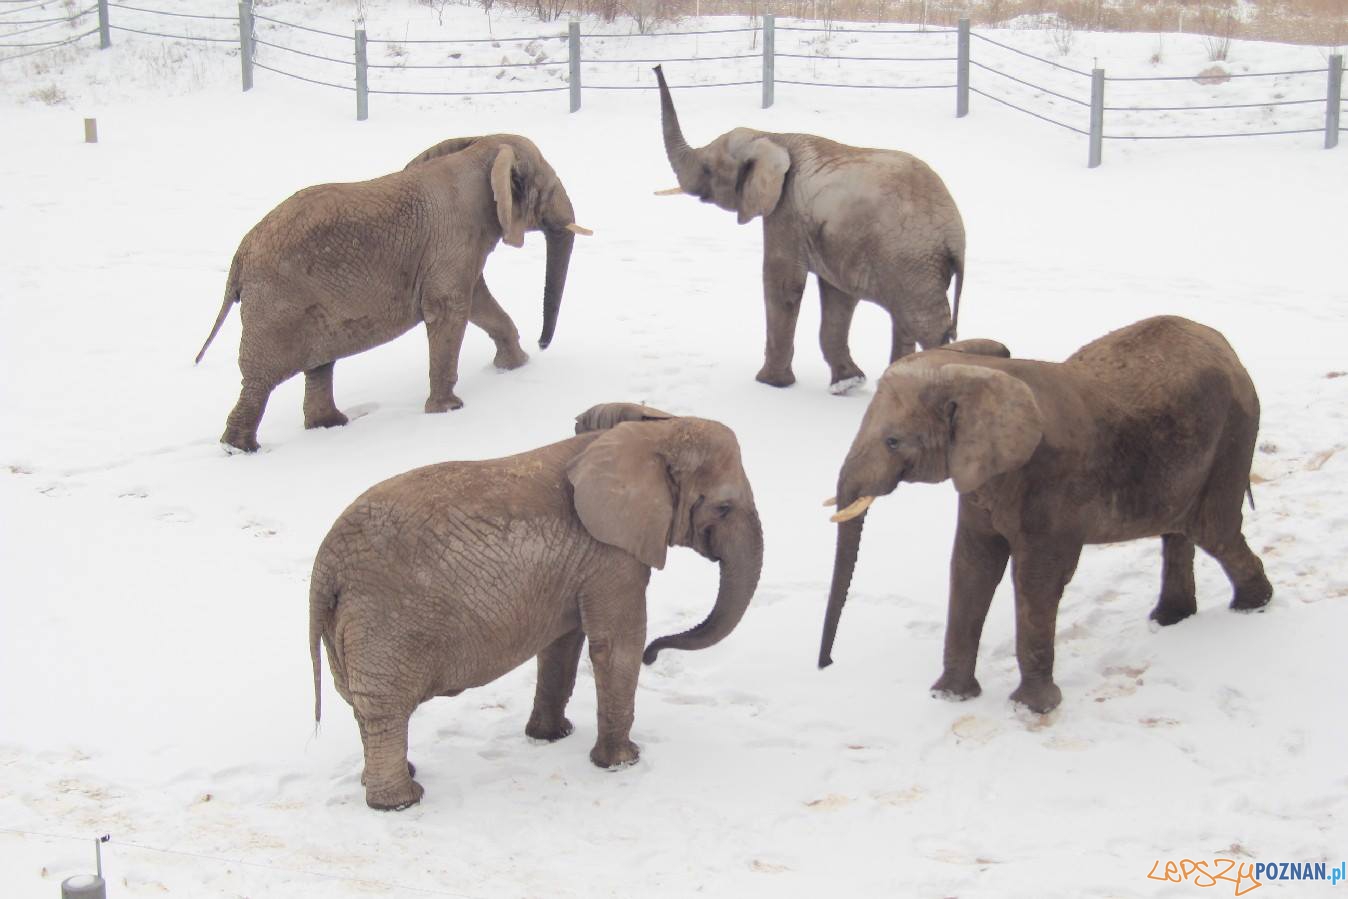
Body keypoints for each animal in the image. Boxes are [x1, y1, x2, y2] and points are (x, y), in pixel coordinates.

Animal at [191, 132, 590, 458]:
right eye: (548, 189)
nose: (542, 345)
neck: (481, 151)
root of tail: (240, 257)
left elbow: (477, 300)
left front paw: (514, 366)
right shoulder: (452, 240)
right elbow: (451, 307)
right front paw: (449, 410)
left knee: (319, 364)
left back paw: (330, 425)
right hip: (276, 303)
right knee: (261, 379)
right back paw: (241, 450)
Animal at [308, 404, 765, 814]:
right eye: (723, 507)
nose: (656, 656)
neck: (653, 433)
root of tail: (325, 567)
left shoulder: (577, 563)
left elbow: (562, 645)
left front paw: (550, 738)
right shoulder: (610, 554)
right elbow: (617, 646)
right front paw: (623, 762)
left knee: (362, 708)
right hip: (384, 621)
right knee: (383, 710)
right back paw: (400, 803)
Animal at [655, 65, 965, 396]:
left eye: (708, 170)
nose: (656, 67)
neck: (771, 136)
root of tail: (956, 235)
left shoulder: (786, 211)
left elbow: (783, 283)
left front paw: (770, 384)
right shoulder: (833, 237)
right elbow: (837, 295)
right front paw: (847, 383)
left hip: (912, 257)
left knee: (926, 324)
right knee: (906, 320)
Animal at [814, 319, 1267, 711]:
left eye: (892, 441)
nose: (826, 665)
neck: (981, 372)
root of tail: (1224, 345)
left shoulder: (1051, 481)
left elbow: (1036, 576)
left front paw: (1031, 708)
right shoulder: (981, 479)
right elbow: (971, 564)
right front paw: (949, 696)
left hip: (1234, 433)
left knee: (1214, 530)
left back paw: (1252, 607)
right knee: (1180, 531)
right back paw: (1172, 618)